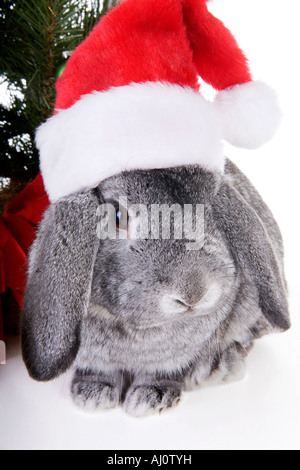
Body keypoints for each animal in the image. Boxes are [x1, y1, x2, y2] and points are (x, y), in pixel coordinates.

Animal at [21, 160, 290, 416]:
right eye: (118, 217)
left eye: (212, 210)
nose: (194, 292)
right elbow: (100, 373)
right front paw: (93, 395)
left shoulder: (175, 358)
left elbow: (161, 374)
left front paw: (151, 398)